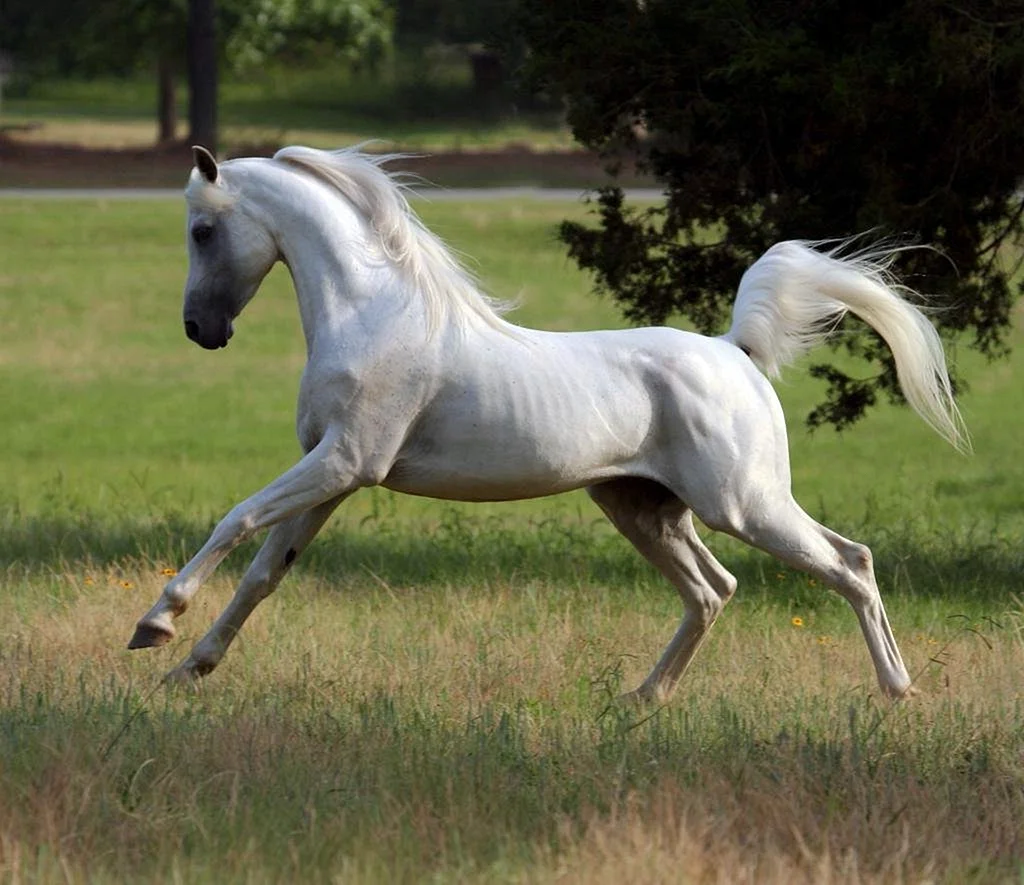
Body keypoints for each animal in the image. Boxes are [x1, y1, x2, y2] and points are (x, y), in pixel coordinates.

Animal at [123, 143, 962, 696]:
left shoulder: (344, 462)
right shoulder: (334, 476)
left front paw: (155, 624)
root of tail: (737, 351)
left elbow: (237, 519)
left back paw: (897, 691)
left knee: (850, 563)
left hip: (744, 504)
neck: (374, 316)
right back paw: (642, 698)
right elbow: (265, 573)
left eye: (202, 230)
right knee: (712, 589)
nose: (200, 329)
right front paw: (187, 667)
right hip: (642, 507)